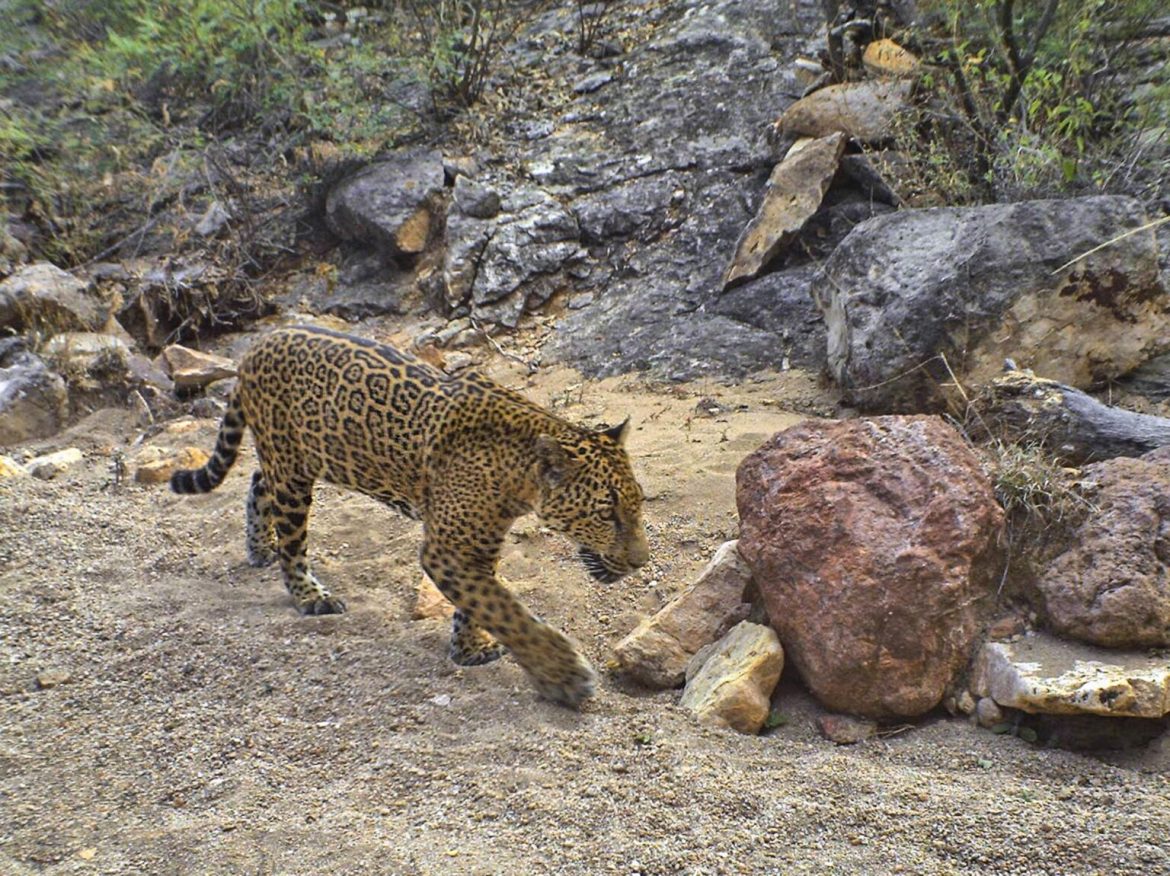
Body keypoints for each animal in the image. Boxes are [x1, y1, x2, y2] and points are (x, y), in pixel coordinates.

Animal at [170, 325, 649, 707]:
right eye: (606, 514)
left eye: (638, 503)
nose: (640, 562)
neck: (516, 475)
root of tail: (258, 344)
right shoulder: (447, 549)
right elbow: (506, 610)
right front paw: (563, 675)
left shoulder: (478, 545)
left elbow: (480, 602)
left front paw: (468, 650)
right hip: (291, 468)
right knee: (291, 540)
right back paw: (309, 594)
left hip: (295, 459)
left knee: (256, 481)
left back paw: (259, 548)